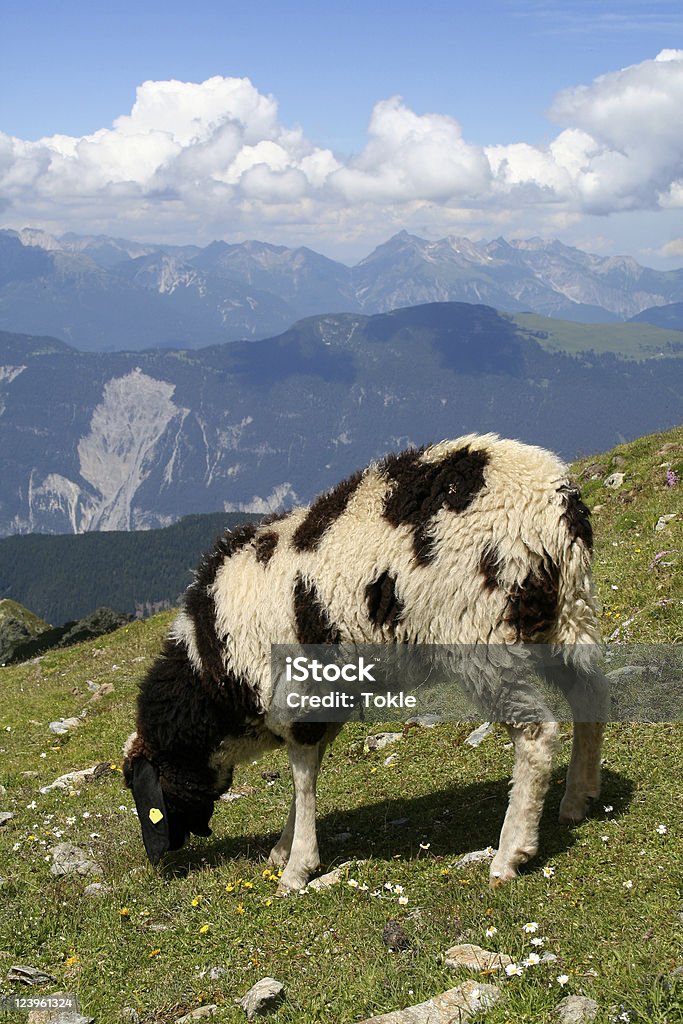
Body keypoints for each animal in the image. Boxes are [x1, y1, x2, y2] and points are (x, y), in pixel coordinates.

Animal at [122, 432, 610, 888]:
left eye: (143, 789)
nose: (157, 861)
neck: (210, 668)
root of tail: (554, 498)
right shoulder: (326, 699)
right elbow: (306, 776)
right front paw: (283, 849)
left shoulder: (294, 699)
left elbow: (302, 778)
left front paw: (296, 869)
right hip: (567, 614)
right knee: (592, 696)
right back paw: (578, 799)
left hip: (485, 637)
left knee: (536, 731)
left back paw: (510, 854)